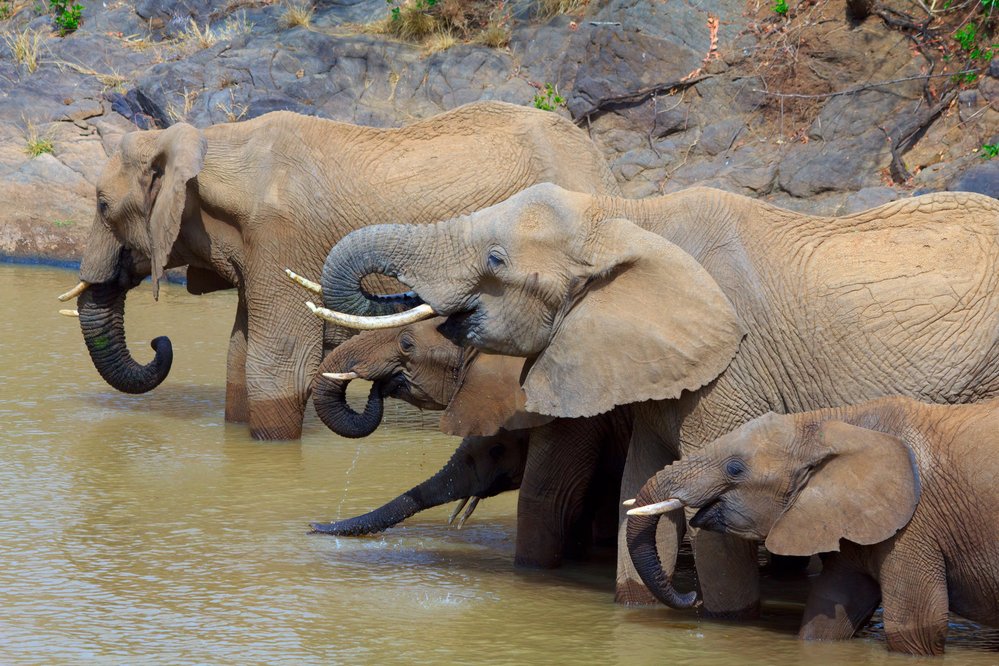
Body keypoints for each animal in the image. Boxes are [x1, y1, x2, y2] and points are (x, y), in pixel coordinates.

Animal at [58, 101, 620, 438]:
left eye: (103, 206)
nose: (160, 342)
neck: (211, 144)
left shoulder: (285, 239)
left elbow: (278, 364)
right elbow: (240, 355)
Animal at [624, 394, 999, 652]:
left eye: (734, 468)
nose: (692, 597)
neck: (831, 424)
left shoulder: (915, 526)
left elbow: (916, 627)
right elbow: (827, 614)